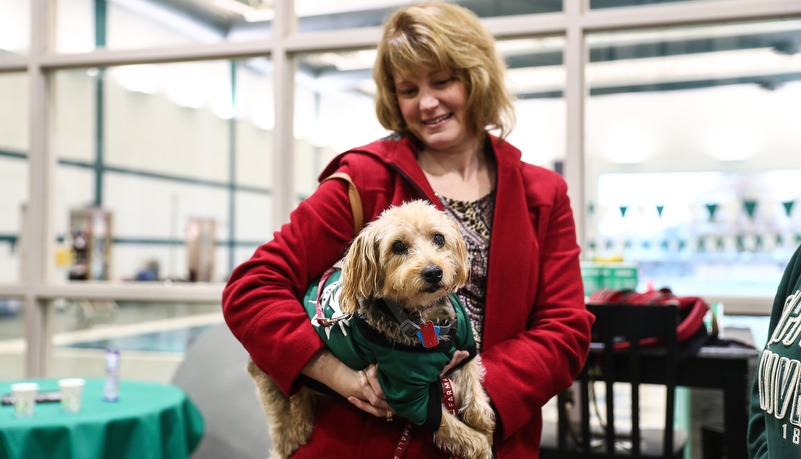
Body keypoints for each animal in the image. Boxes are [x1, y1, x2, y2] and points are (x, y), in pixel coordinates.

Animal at [247, 201, 494, 459]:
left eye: (439, 238)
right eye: (398, 246)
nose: (433, 272)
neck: (424, 319)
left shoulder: (465, 352)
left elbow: (478, 404)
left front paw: (485, 428)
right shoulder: (408, 395)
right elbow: (461, 432)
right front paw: (482, 445)